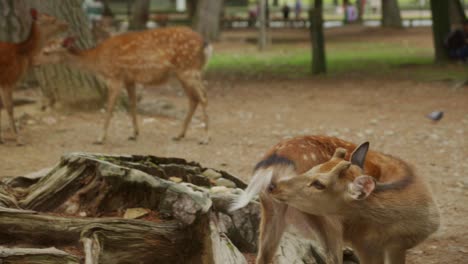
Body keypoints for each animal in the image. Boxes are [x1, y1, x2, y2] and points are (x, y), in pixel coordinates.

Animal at [0, 9, 68, 145]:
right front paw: (18, 139)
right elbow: (9, 108)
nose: (66, 24)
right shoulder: (8, 80)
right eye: (52, 20)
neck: (22, 54)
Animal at [33, 26, 213, 144]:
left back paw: (205, 137)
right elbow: (132, 104)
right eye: (42, 48)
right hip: (182, 72)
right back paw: (179, 135)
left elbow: (109, 107)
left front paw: (100, 137)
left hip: (188, 69)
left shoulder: (115, 77)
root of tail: (205, 44)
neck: (98, 61)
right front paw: (134, 133)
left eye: (46, 52)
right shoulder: (129, 79)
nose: (34, 63)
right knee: (193, 99)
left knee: (204, 97)